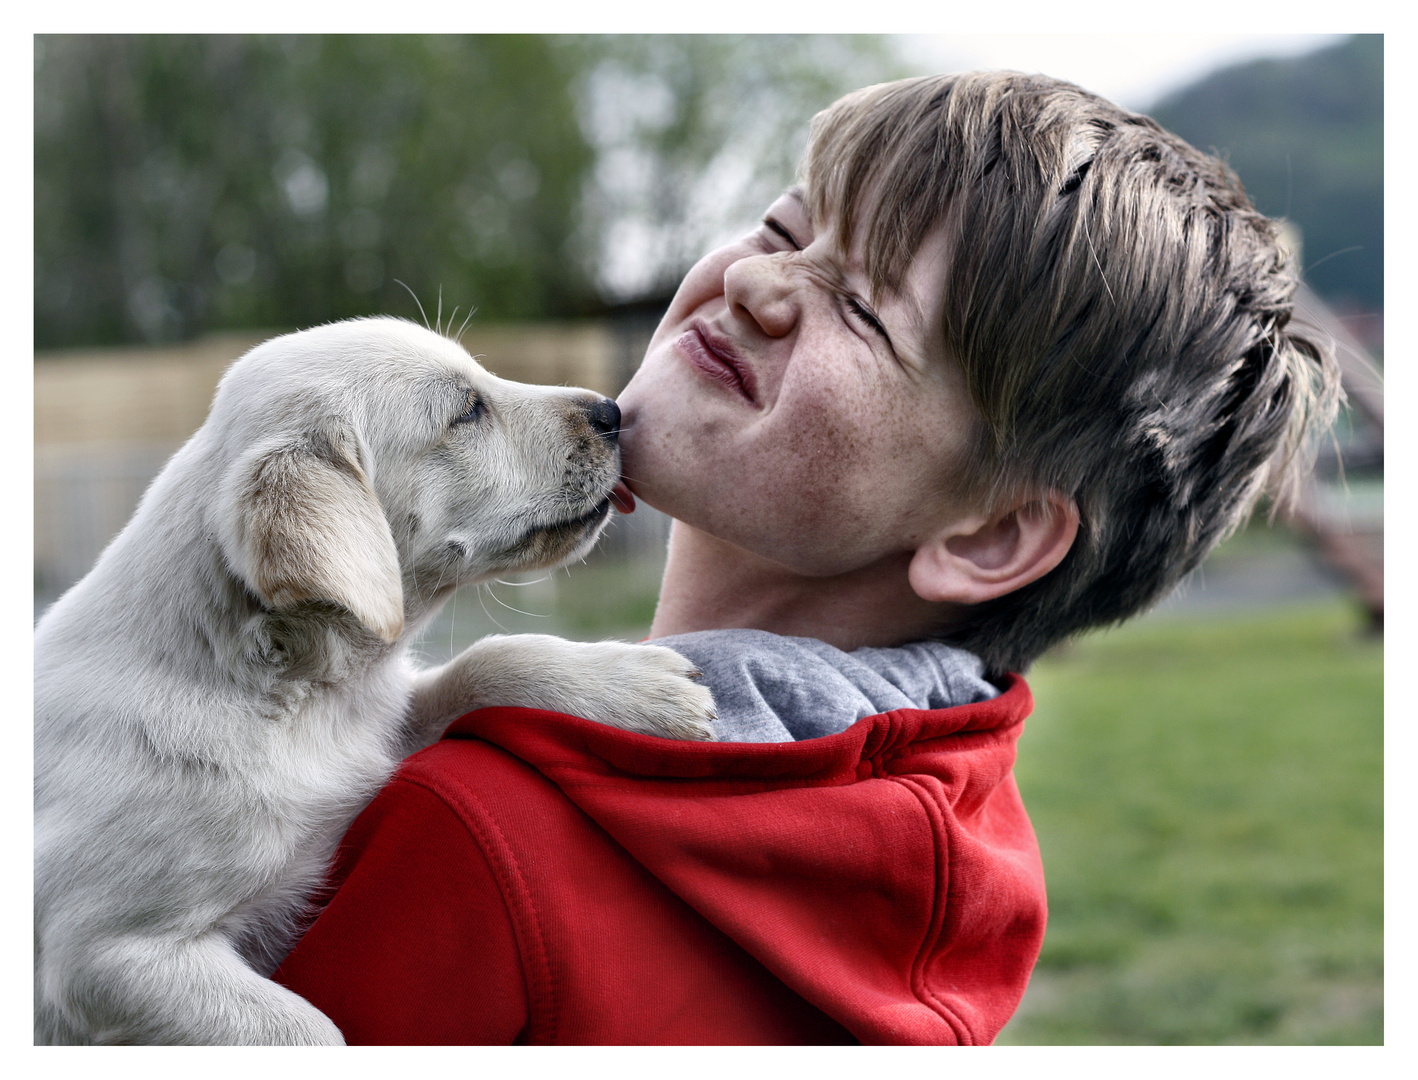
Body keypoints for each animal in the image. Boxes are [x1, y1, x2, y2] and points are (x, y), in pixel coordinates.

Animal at [34, 317, 714, 1043]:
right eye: (467, 410)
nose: (613, 412)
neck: (291, 695)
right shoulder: (106, 954)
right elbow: (312, 1033)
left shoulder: (380, 728)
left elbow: (483, 661)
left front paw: (636, 684)